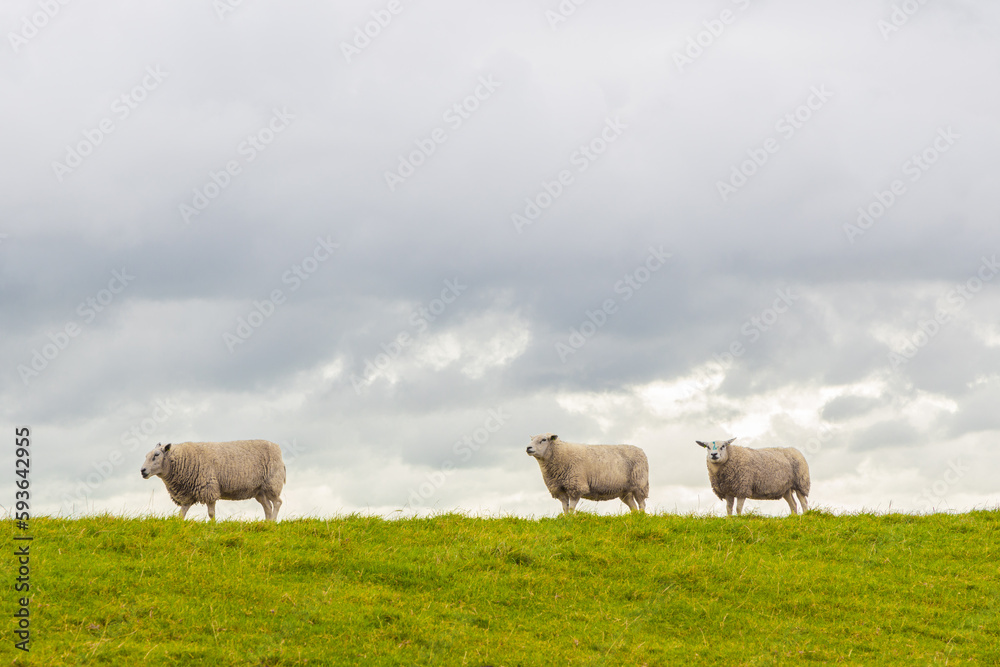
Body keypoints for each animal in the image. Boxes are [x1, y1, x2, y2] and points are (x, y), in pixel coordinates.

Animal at [140, 440, 285, 521]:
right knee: (268, 506)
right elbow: (182, 513)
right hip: (259, 490)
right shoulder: (187, 494)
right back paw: (266, 523)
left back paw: (273, 522)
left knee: (277, 502)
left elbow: (211, 513)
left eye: (156, 455)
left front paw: (213, 525)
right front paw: (179, 524)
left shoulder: (208, 488)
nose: (142, 471)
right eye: (146, 455)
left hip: (272, 483)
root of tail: (278, 448)